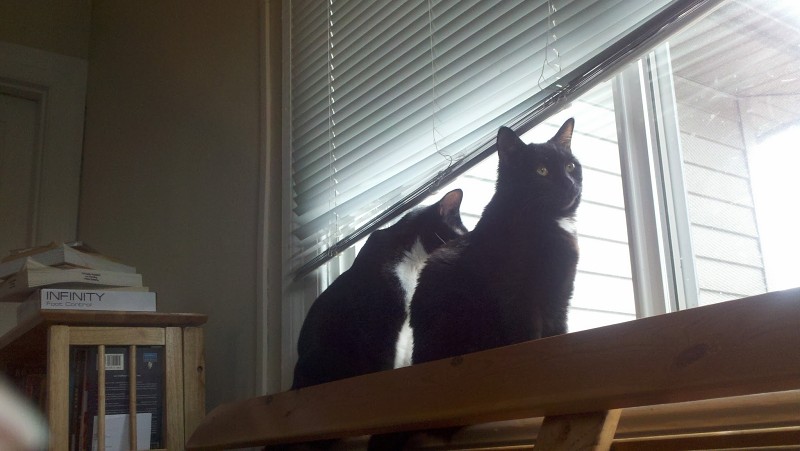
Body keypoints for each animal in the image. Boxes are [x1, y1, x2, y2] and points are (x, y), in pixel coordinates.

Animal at [410, 119, 581, 364]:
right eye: (542, 171)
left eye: (570, 167)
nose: (569, 184)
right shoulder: (518, 299)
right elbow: (528, 334)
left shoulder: (560, 296)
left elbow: (558, 329)